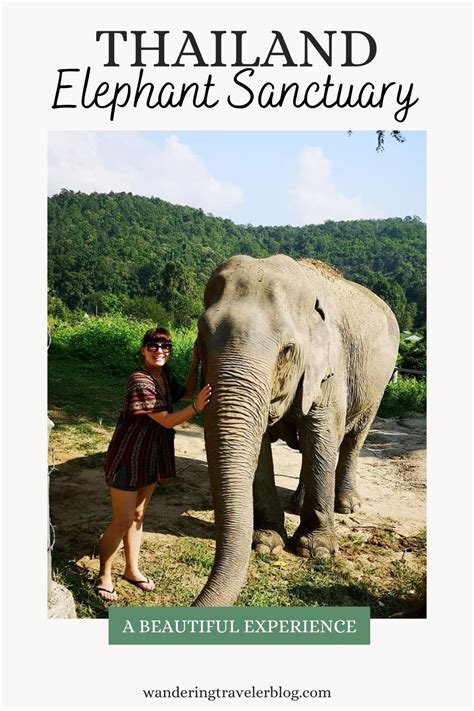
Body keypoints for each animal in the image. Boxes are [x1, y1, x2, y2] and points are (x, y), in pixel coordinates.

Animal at [193, 254, 399, 607]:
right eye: (202, 337)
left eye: (287, 349)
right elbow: (262, 449)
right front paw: (266, 543)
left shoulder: (331, 369)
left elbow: (323, 437)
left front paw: (316, 551)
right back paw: (298, 505)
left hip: (379, 386)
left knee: (352, 440)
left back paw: (347, 505)